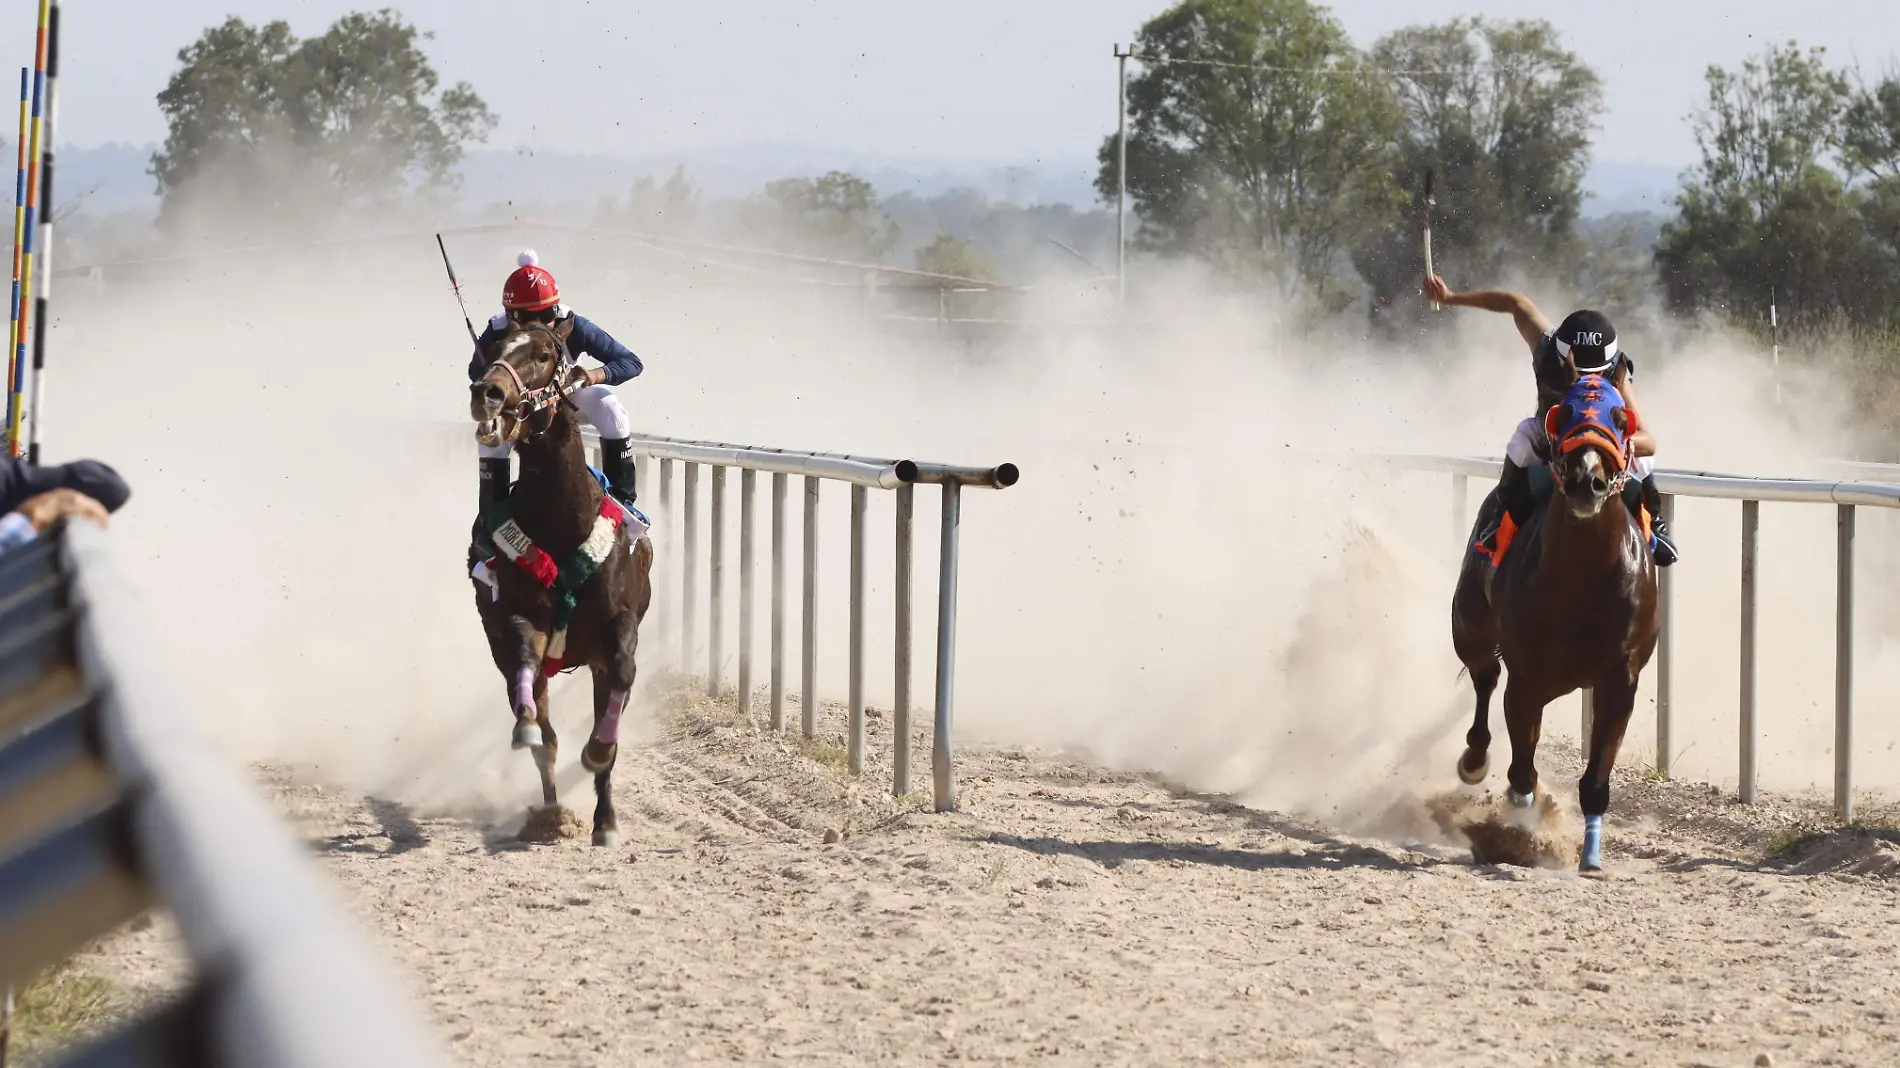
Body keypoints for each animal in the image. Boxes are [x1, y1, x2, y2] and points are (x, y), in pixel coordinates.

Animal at [1444, 370, 1656, 870]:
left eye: (1621, 418)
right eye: (1563, 414)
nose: (1586, 483)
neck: (1581, 578)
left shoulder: (1620, 678)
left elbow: (1595, 778)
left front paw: (1590, 857)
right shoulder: (1527, 677)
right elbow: (1521, 771)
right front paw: (1521, 831)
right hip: (1469, 627)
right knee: (1485, 676)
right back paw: (1475, 759)